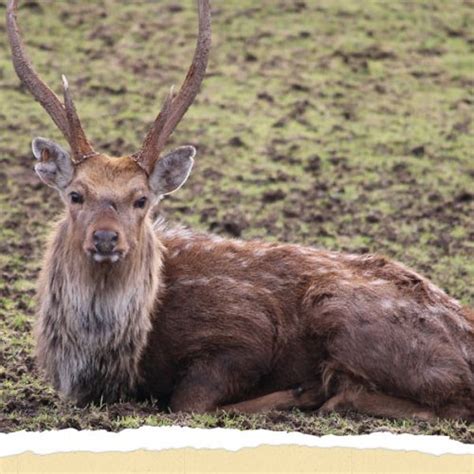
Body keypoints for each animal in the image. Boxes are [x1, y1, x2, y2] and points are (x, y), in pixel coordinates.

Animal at [5, 0, 472, 422]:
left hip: (342, 312)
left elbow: (188, 400)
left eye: (142, 200)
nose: (105, 237)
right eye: (75, 195)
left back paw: (322, 391)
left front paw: (299, 390)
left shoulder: (245, 332)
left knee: (449, 403)